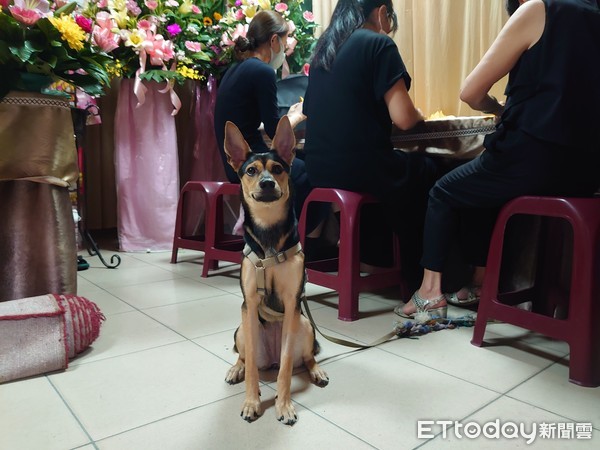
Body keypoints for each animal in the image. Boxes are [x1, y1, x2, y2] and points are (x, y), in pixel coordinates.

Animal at [224, 116, 330, 426]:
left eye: (278, 169)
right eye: (250, 171)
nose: (268, 183)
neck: (269, 236)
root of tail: (268, 356)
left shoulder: (292, 301)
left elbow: (286, 368)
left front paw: (284, 406)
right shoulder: (249, 303)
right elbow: (252, 370)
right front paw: (251, 401)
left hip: (303, 325)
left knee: (305, 357)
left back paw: (316, 370)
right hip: (241, 329)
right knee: (245, 358)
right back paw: (236, 369)